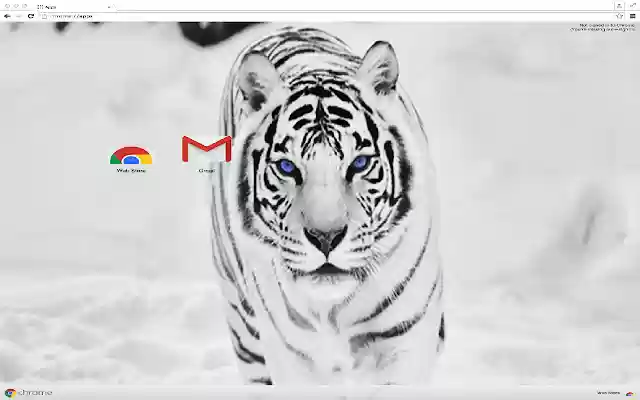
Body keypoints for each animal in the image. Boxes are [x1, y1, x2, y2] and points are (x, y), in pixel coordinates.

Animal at [209, 26, 445, 386]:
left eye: (359, 163)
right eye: (287, 167)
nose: (325, 237)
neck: (334, 313)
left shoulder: (403, 347)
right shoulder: (291, 362)